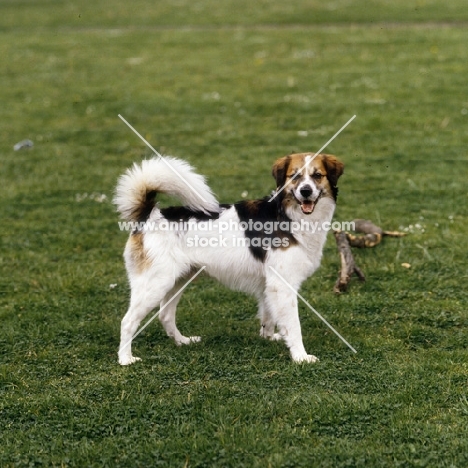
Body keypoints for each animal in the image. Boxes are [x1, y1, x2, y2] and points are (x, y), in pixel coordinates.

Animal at [113, 154, 344, 366]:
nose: (306, 191)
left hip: (177, 281)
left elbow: (268, 316)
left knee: (165, 315)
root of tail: (149, 216)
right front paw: (300, 356)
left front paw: (270, 338)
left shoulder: (269, 285)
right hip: (155, 284)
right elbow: (294, 325)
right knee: (127, 321)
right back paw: (125, 359)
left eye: (317, 176)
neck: (287, 215)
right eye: (294, 177)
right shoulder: (283, 285)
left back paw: (183, 341)